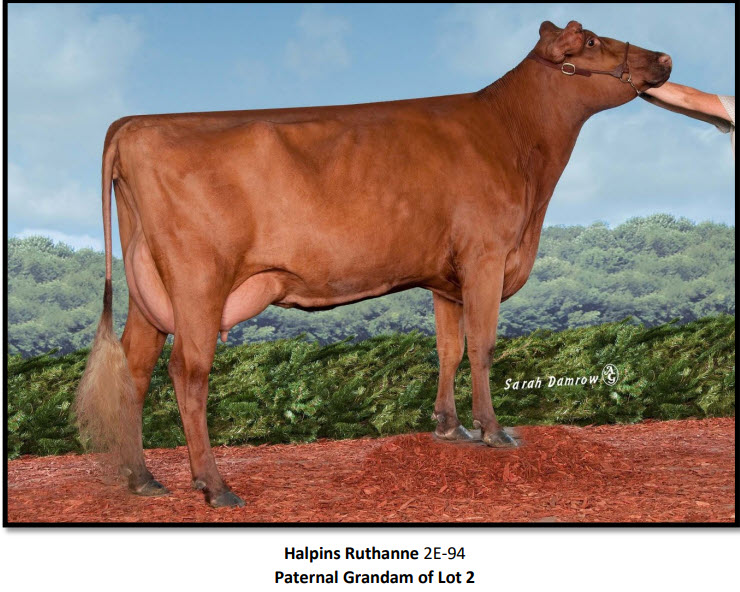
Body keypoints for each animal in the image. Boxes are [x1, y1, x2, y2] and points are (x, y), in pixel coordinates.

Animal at [75, 20, 672, 507]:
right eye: (590, 41)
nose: (664, 57)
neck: (516, 140)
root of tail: (134, 123)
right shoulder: (485, 256)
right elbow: (482, 346)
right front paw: (494, 432)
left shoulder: (447, 278)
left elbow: (450, 348)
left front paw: (449, 428)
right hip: (198, 280)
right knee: (186, 371)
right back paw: (214, 486)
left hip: (149, 288)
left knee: (135, 367)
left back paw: (141, 479)